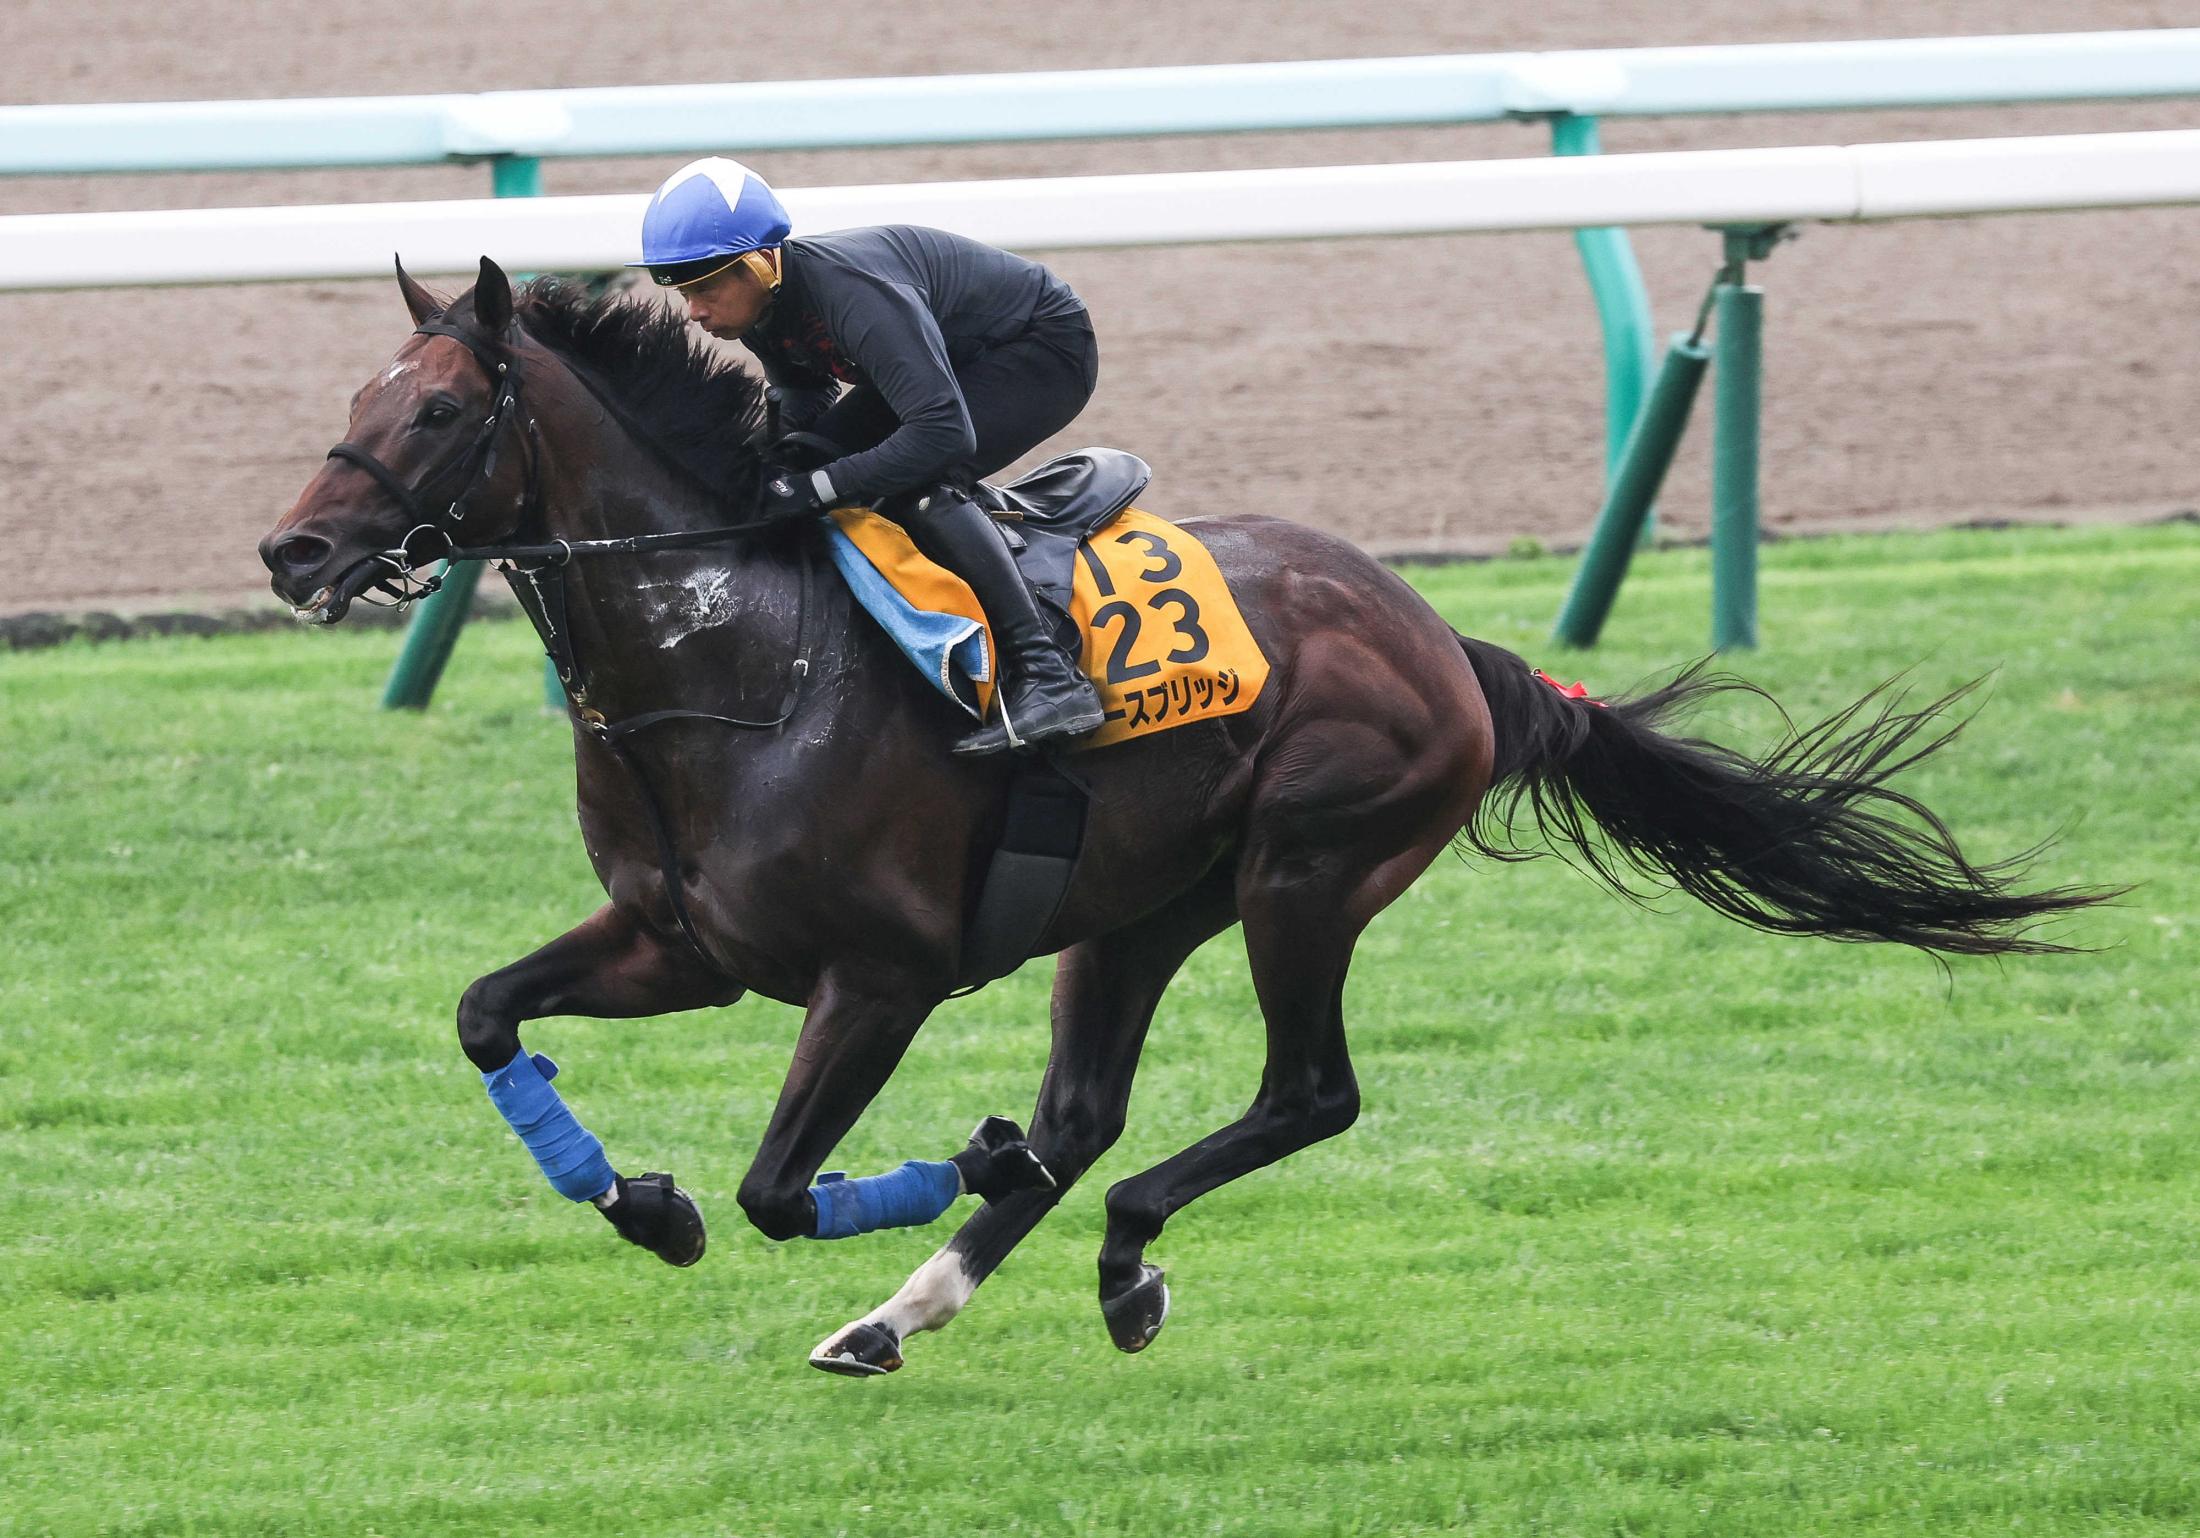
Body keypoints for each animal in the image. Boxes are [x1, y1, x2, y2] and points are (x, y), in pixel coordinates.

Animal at [261, 258, 2112, 1381]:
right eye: (349, 401)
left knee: (1303, 1093)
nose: (292, 551)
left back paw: (1116, 1261)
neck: (730, 656)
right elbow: (486, 1010)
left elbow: (782, 1182)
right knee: (1088, 1113)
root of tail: (1448, 640)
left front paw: (873, 1171)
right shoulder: (682, 942)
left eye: (438, 409)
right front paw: (643, 1202)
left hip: (1310, 866)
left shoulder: (882, 971)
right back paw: (906, 1306)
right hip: (1135, 903)